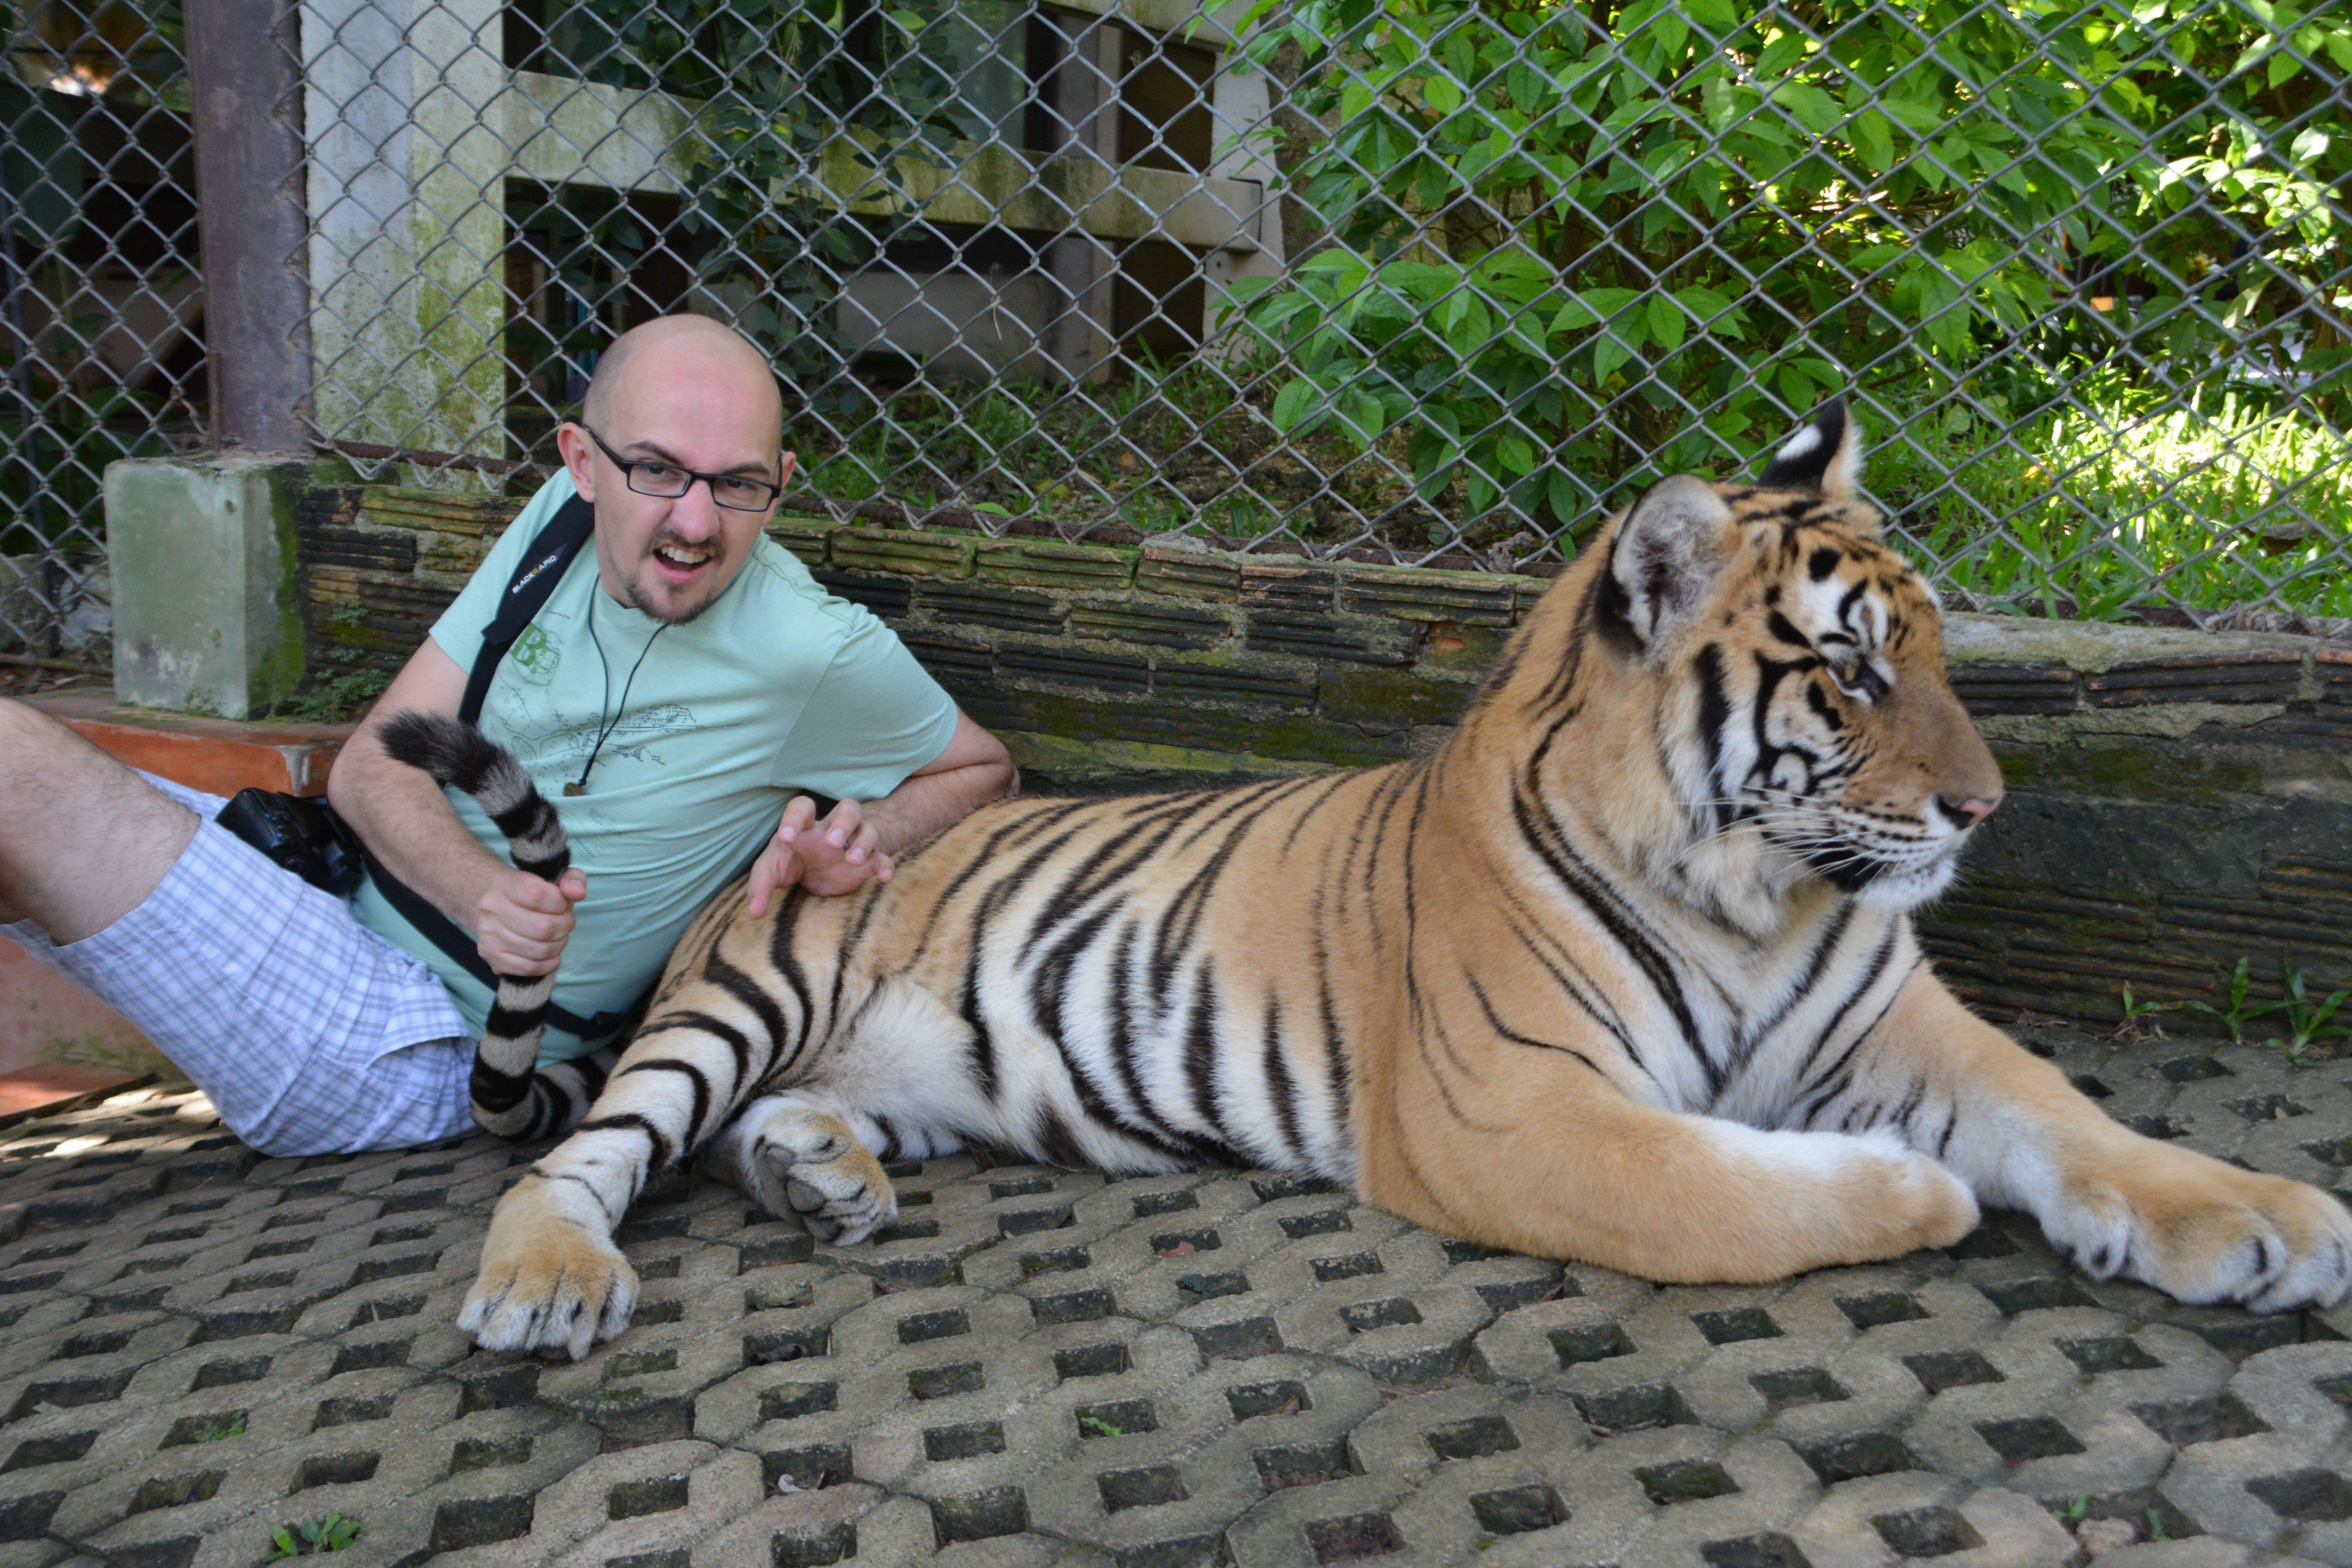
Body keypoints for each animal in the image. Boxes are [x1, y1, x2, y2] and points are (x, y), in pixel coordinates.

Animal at [423, 402, 2352, 1363]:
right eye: (1852, 669)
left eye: (1938, 645)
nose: (1982, 805)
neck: (1756, 890)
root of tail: (794, 835)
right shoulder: (1508, 1108)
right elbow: (1727, 1191)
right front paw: (1907, 1188)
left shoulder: (1905, 1030)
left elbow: (2070, 1116)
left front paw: (2263, 1217)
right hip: (738, 1005)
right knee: (592, 1155)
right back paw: (546, 1281)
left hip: (913, 1071)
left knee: (770, 1131)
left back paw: (822, 1175)